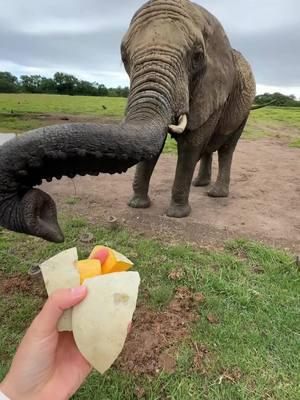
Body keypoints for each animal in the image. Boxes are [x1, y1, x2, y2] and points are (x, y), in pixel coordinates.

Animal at [0, 0, 255, 242]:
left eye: (197, 56)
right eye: (124, 58)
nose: (48, 218)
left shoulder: (213, 89)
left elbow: (191, 144)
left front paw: (177, 215)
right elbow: (154, 147)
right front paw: (137, 205)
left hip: (245, 108)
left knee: (226, 148)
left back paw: (216, 193)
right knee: (210, 148)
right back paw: (200, 185)